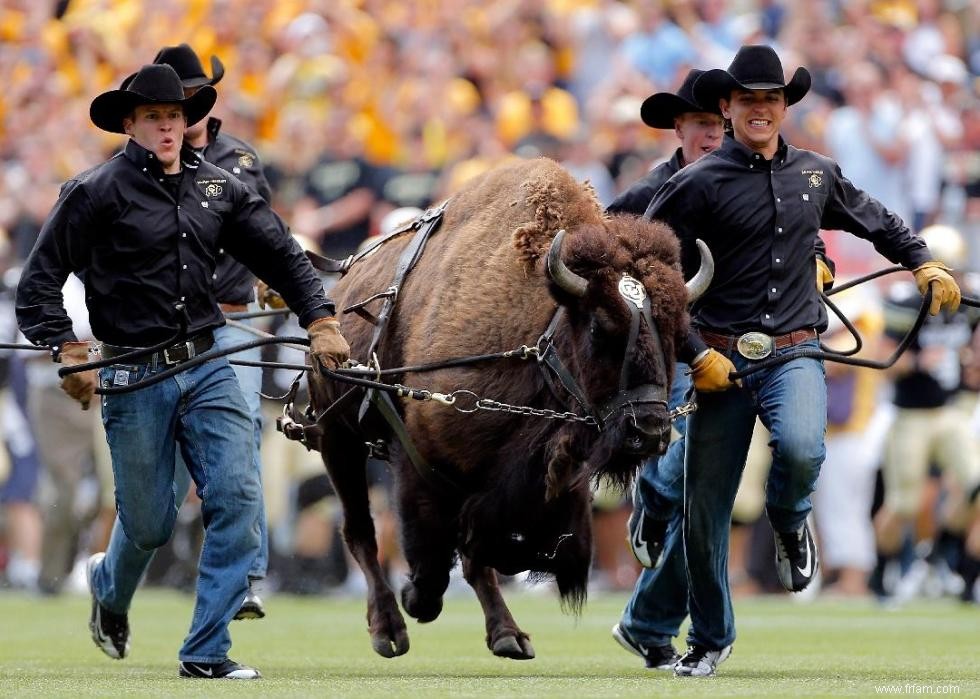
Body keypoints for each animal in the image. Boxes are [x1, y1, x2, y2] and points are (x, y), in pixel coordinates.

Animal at [310, 157, 708, 660]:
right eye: (599, 327)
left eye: (677, 332)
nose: (650, 430)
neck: (538, 338)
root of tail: (342, 286)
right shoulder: (418, 459)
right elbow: (436, 547)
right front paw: (415, 596)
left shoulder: (548, 483)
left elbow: (510, 543)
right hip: (337, 438)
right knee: (359, 530)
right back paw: (389, 629)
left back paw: (508, 636)